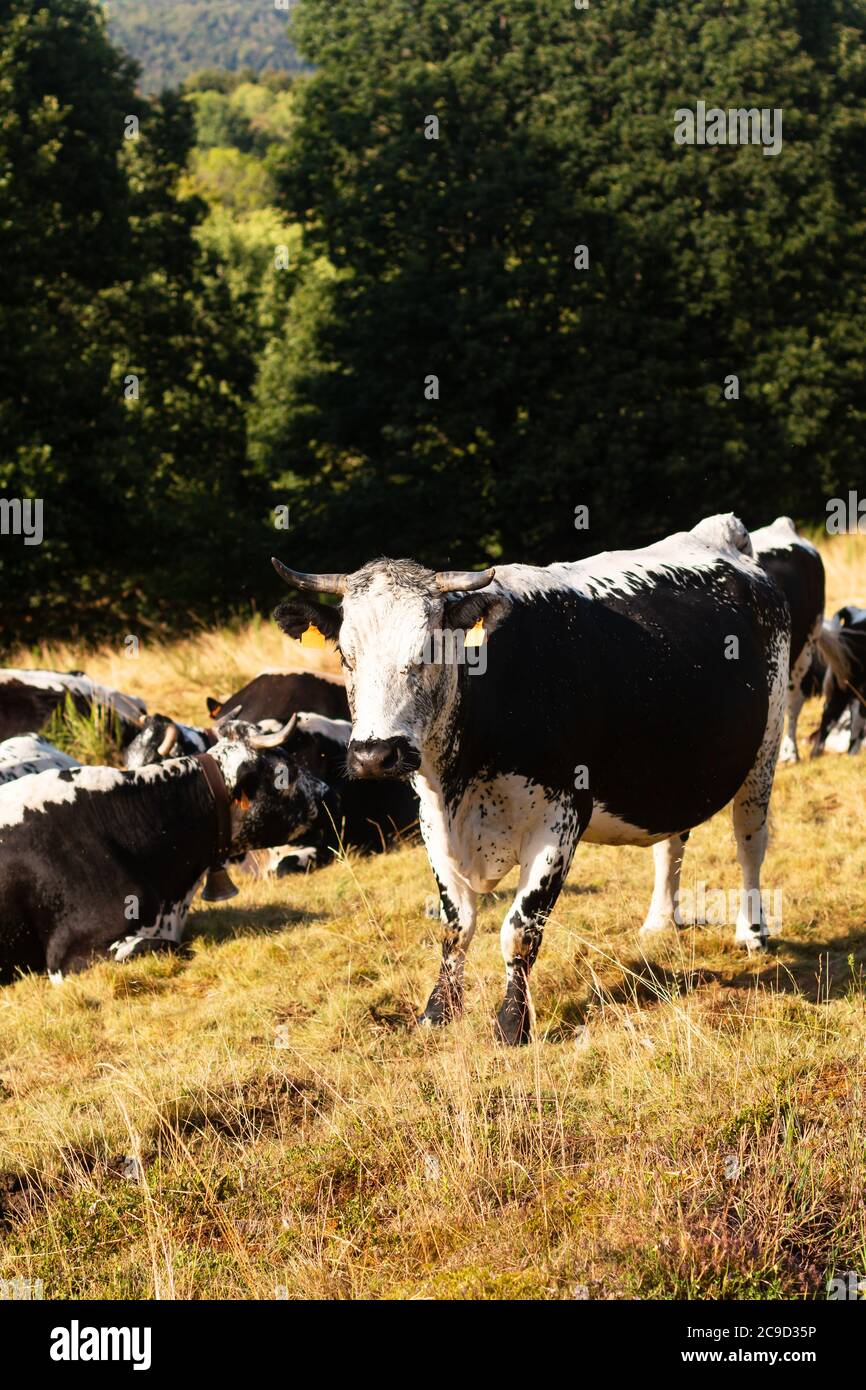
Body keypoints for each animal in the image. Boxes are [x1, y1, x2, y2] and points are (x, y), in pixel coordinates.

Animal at [272, 513, 790, 1044]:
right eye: (345, 656)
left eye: (429, 651)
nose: (375, 754)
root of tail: (721, 538)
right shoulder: (433, 822)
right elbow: (456, 925)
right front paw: (438, 1012)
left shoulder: (560, 819)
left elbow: (519, 929)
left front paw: (511, 1023)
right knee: (671, 843)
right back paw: (660, 922)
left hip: (765, 749)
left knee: (750, 841)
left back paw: (751, 931)